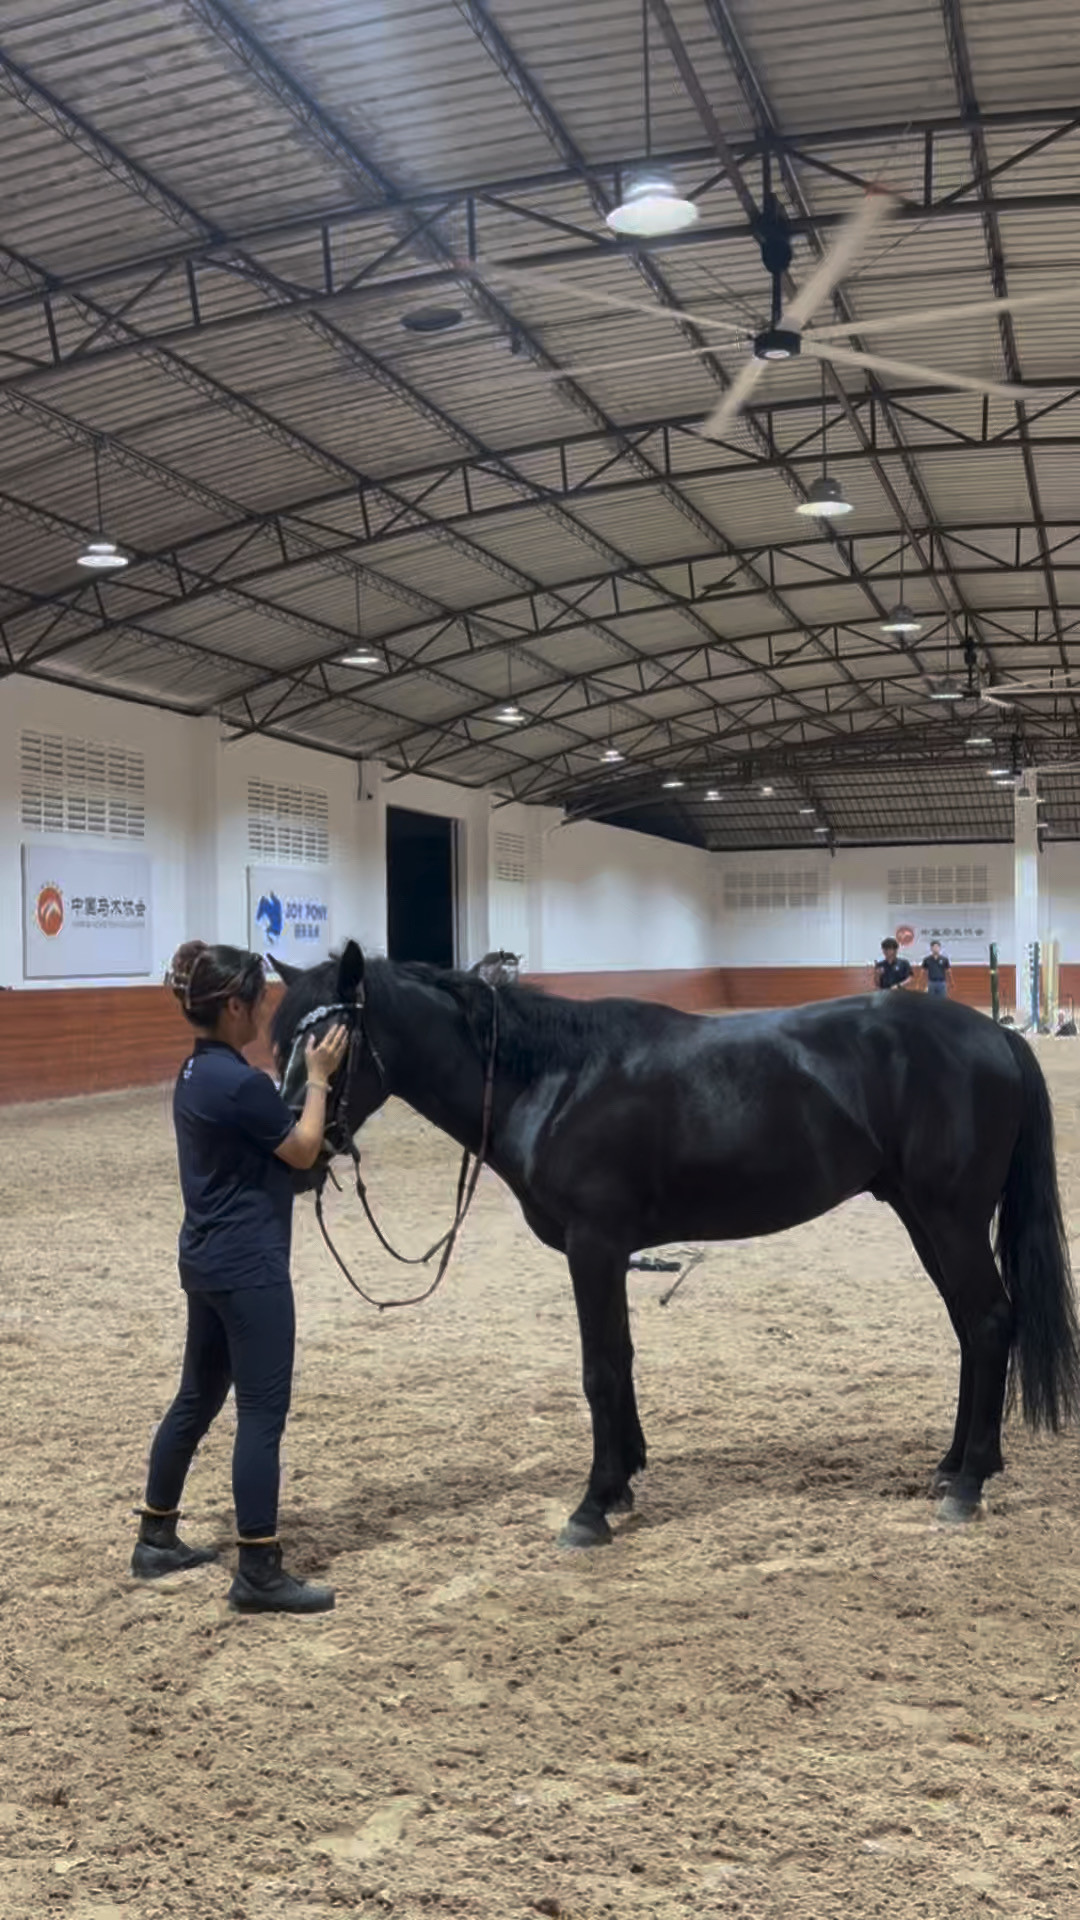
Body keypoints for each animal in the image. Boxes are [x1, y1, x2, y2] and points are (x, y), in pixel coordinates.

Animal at [269, 942, 1080, 1548]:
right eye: (280, 1042)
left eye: (328, 1045)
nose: (294, 1156)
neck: (555, 1081)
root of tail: (998, 1035)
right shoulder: (607, 1252)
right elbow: (620, 1360)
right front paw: (624, 1479)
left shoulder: (595, 1246)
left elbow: (599, 1368)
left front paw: (592, 1507)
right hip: (922, 1216)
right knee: (973, 1330)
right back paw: (956, 1465)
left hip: (950, 1217)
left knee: (988, 1323)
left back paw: (968, 1485)